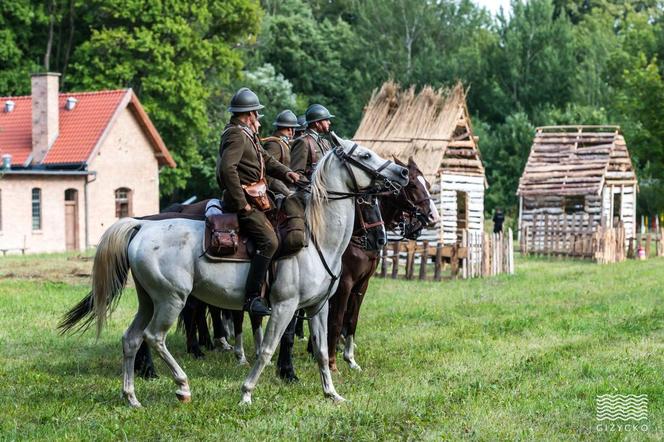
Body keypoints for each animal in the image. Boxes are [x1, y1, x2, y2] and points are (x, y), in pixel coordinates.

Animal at [61, 139, 410, 408]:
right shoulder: (284, 307)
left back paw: (132, 397)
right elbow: (267, 349)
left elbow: (323, 351)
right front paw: (246, 393)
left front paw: (332, 393)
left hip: (149, 300)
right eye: (364, 155)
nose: (402, 172)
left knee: (132, 339)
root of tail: (143, 225)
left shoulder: (317, 307)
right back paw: (182, 386)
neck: (316, 239)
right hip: (171, 300)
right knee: (154, 337)